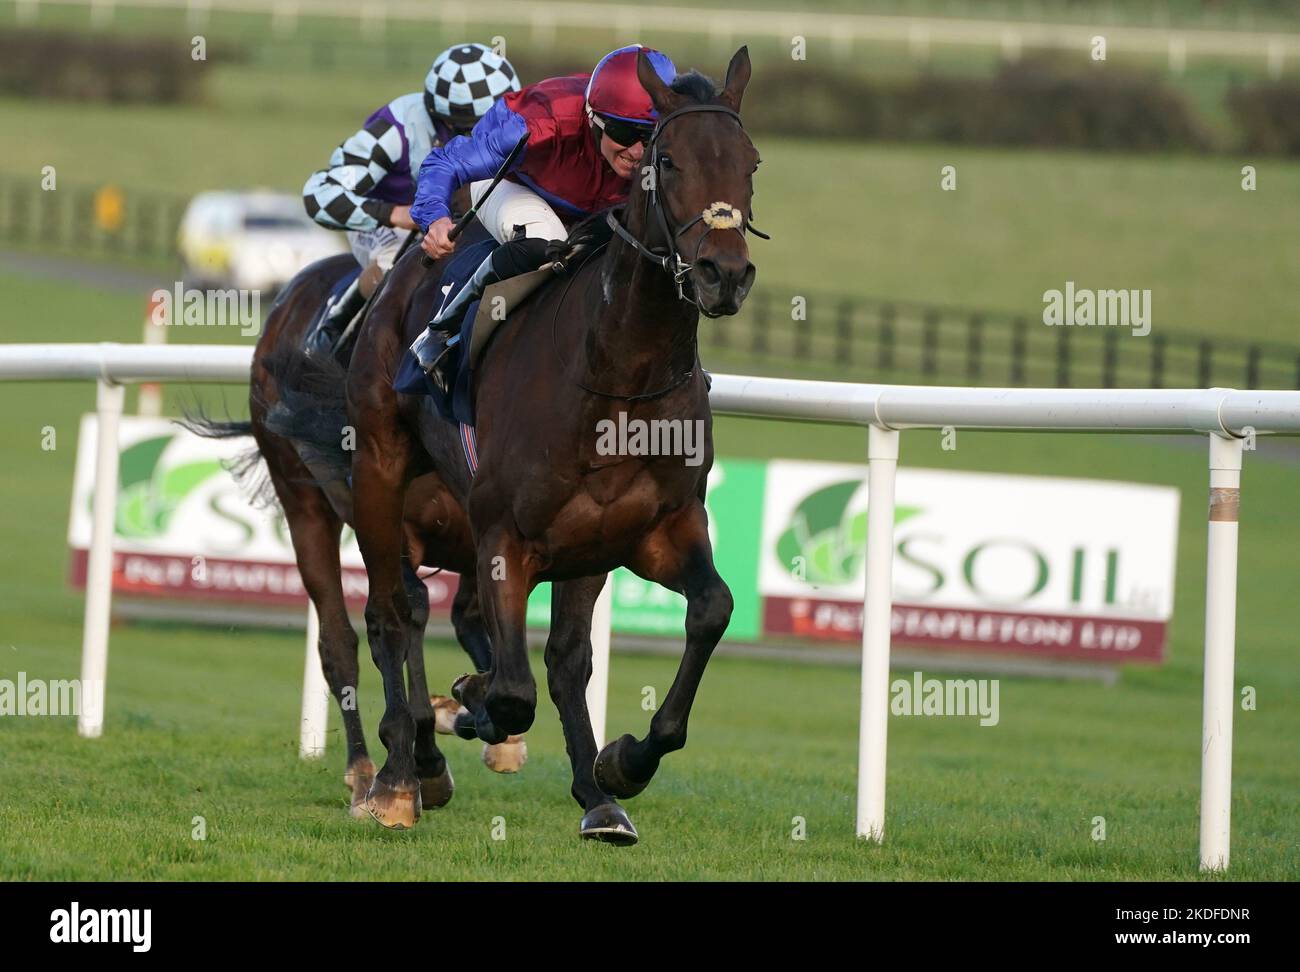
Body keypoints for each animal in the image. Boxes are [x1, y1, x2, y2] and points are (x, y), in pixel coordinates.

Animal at [345, 49, 759, 836]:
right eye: (667, 160)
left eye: (751, 161)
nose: (724, 273)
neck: (621, 375)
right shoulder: (504, 535)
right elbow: (510, 691)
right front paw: (467, 703)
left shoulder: (653, 530)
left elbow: (710, 610)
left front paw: (621, 764)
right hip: (380, 469)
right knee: (391, 612)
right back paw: (398, 778)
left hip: (580, 548)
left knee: (562, 658)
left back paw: (596, 799)